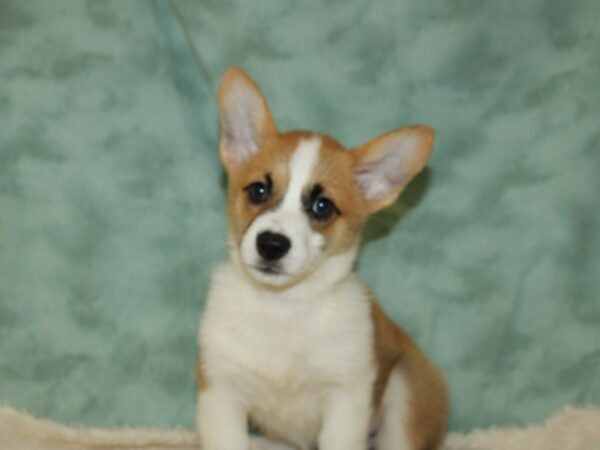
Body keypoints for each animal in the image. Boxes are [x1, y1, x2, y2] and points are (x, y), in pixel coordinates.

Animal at [199, 67, 448, 450]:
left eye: (322, 206)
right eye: (258, 190)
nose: (271, 244)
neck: (282, 306)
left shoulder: (346, 400)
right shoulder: (221, 393)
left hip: (405, 394)